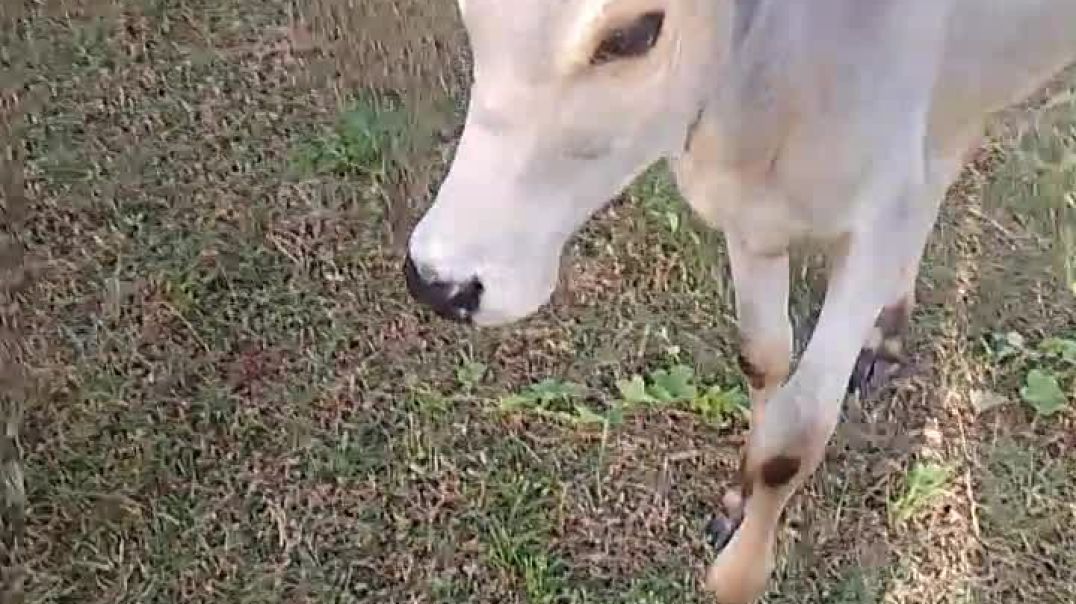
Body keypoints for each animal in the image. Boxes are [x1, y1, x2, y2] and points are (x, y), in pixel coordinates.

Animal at [401, 0, 1076, 602]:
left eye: (635, 32)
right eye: (471, 12)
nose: (438, 280)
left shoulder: (875, 217)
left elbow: (795, 437)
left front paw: (741, 575)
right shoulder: (751, 220)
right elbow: (762, 358)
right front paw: (739, 498)